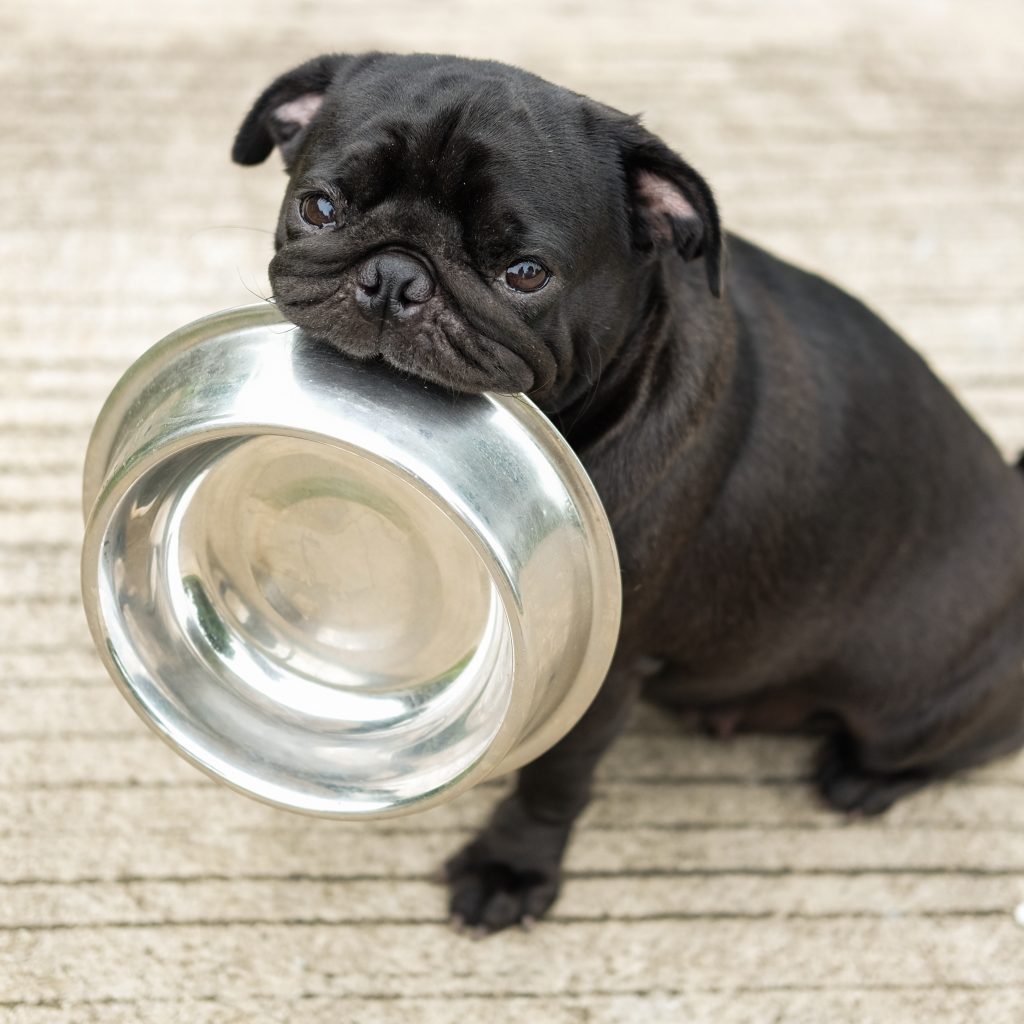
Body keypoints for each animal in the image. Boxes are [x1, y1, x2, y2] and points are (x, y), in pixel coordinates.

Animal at [232, 54, 1024, 937]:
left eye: (525, 274)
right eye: (319, 207)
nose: (395, 276)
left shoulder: (604, 673)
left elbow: (555, 779)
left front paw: (512, 866)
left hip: (912, 715)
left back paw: (863, 780)